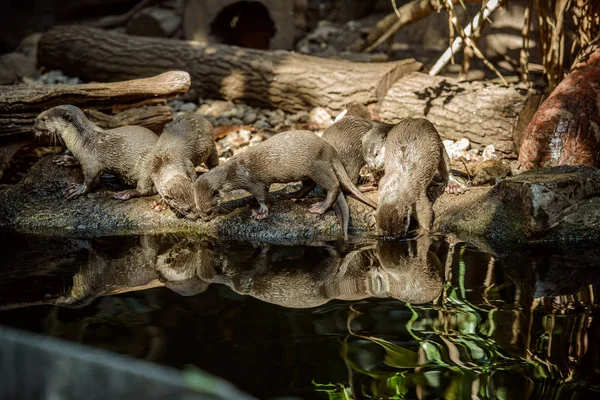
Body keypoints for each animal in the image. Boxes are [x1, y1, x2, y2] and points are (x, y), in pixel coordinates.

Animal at [192, 130, 378, 238]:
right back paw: (292, 195)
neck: (235, 172)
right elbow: (265, 194)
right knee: (309, 185)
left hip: (317, 166)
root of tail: (329, 148)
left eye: (209, 210)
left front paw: (260, 212)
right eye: (198, 209)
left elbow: (261, 196)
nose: (205, 219)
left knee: (333, 186)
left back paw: (319, 208)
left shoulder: (253, 181)